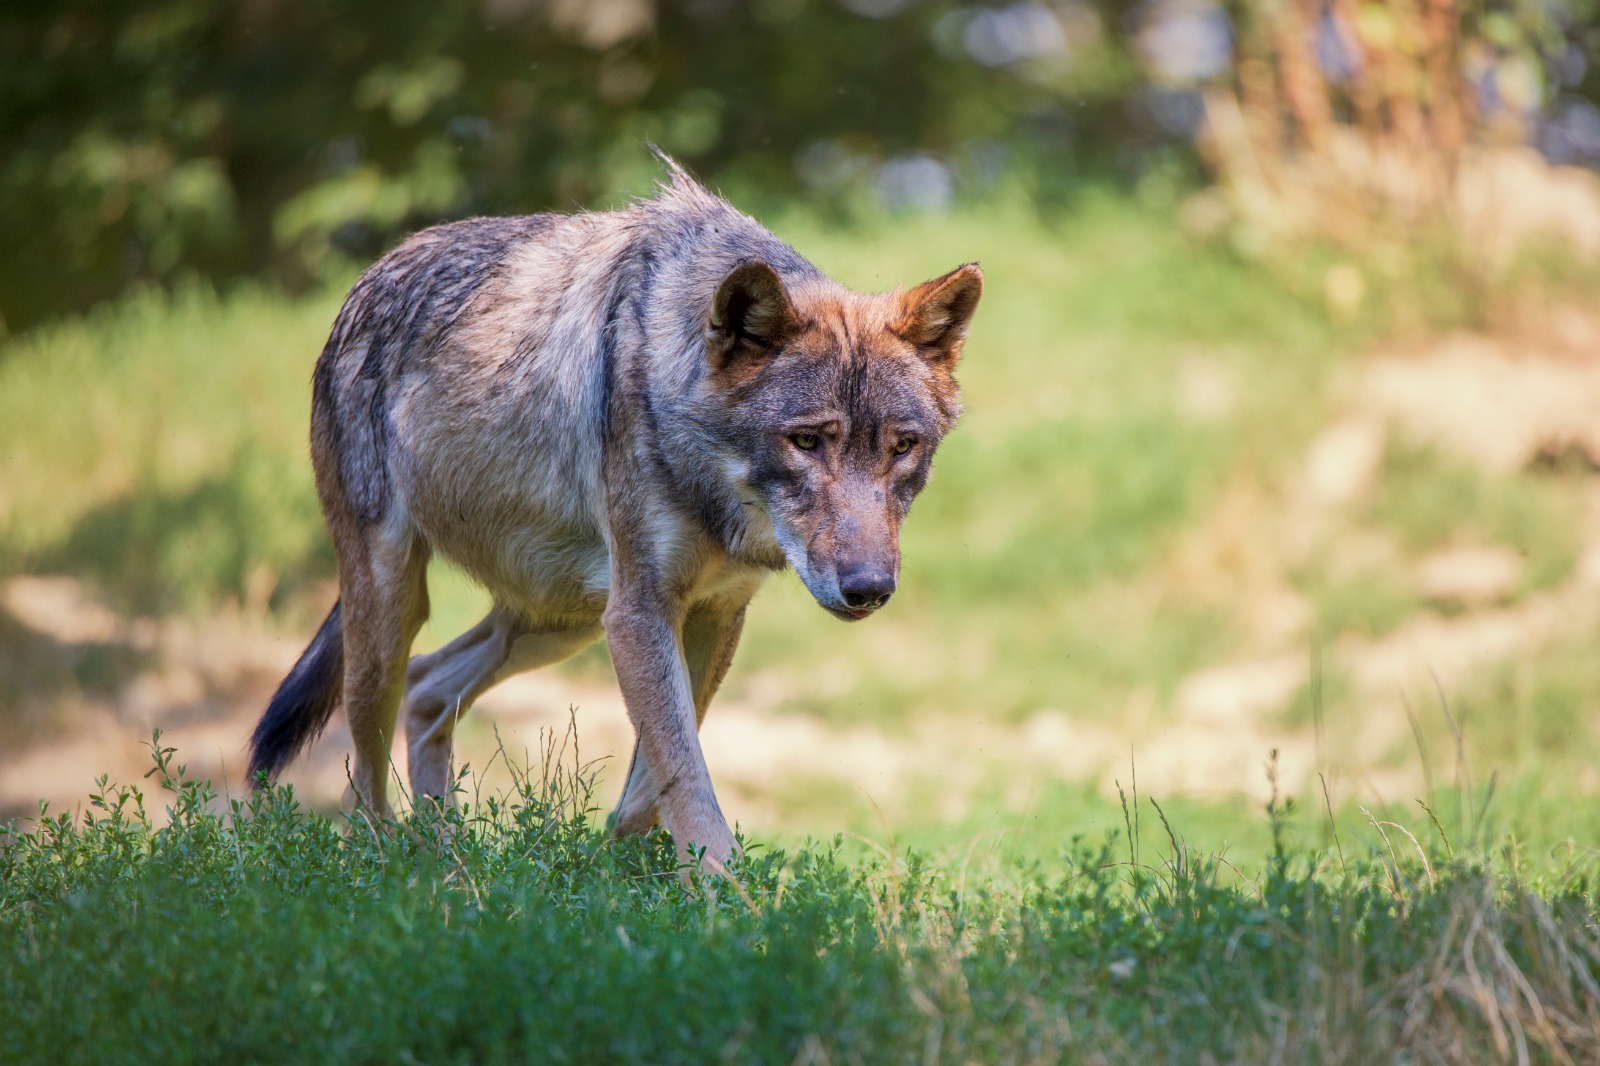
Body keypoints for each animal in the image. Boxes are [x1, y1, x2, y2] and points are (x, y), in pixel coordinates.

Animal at [244, 153, 979, 864]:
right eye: (806, 442)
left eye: (902, 448)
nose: (869, 588)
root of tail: (370, 276)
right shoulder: (641, 612)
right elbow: (687, 782)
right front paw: (721, 893)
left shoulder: (712, 612)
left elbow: (657, 780)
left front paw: (620, 862)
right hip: (395, 612)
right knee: (364, 768)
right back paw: (392, 862)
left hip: (563, 616)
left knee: (429, 690)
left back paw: (447, 857)